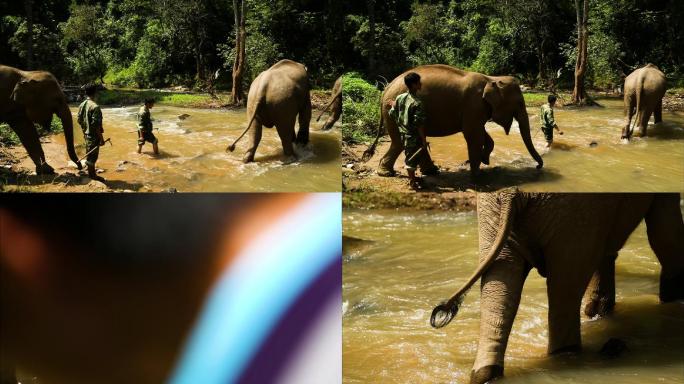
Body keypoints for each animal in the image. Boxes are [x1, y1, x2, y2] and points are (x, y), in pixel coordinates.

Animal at [364, 65, 544, 178]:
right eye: (519, 103)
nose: (538, 167)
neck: (491, 79)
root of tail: (386, 88)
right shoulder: (473, 105)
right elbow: (473, 135)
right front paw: (477, 174)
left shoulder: (477, 109)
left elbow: (482, 134)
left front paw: (484, 160)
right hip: (394, 112)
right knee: (400, 142)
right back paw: (386, 173)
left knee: (418, 141)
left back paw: (431, 171)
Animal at [432, 190, 684, 384]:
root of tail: (511, 192)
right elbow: (665, 231)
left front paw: (599, 311)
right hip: (574, 214)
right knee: (565, 289)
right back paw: (566, 355)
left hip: (493, 212)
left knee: (499, 285)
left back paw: (485, 375)